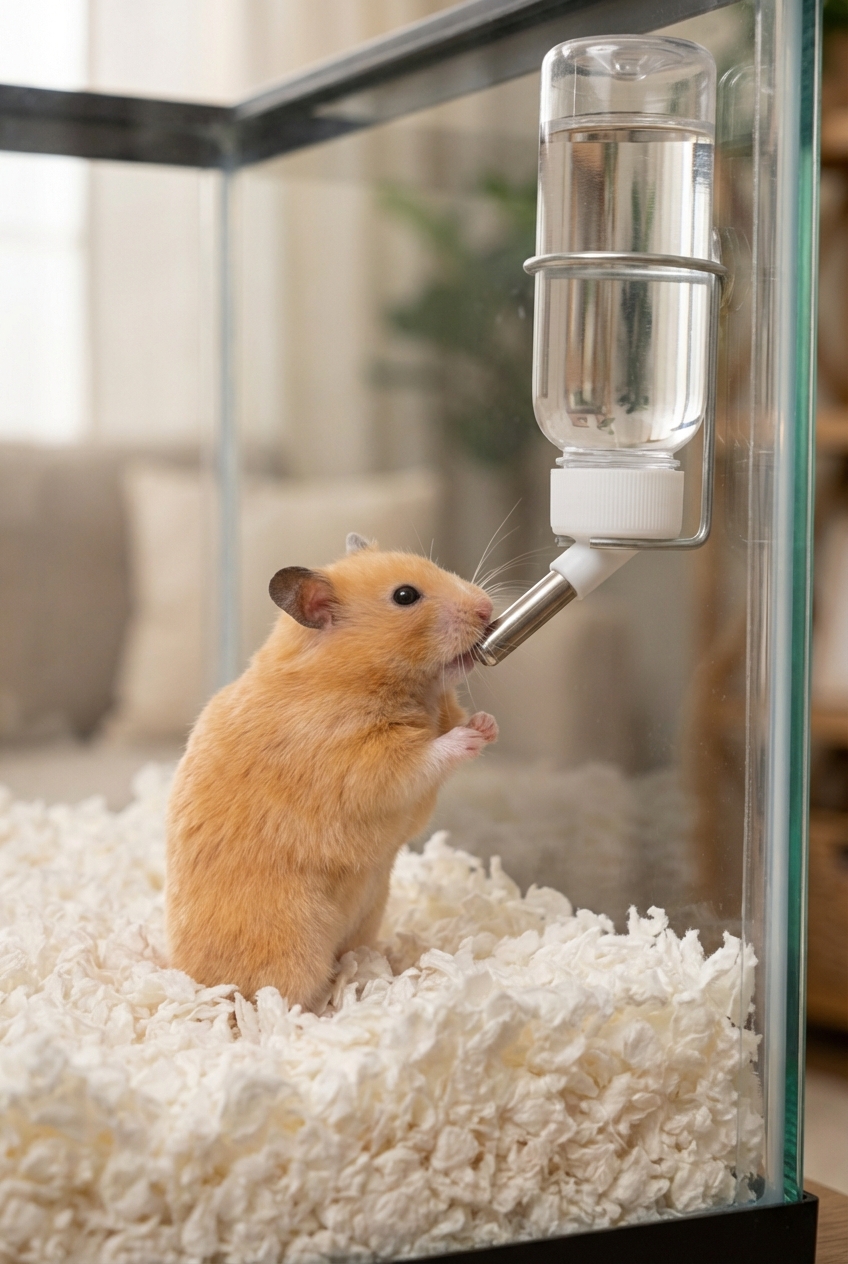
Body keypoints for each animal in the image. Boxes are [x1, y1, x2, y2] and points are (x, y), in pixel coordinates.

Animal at [165, 533, 497, 1011]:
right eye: (405, 596)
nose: (488, 608)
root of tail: (187, 978)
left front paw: (488, 724)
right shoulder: (361, 762)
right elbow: (422, 758)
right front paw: (467, 737)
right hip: (292, 946)